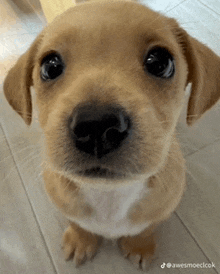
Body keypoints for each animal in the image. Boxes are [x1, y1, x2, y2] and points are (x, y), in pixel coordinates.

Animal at [3, 0, 220, 270]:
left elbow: (146, 229)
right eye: (50, 66)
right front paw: (81, 240)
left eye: (160, 62)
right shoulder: (64, 204)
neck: (109, 196)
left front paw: (139, 245)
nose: (96, 125)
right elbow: (77, 223)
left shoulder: (162, 209)